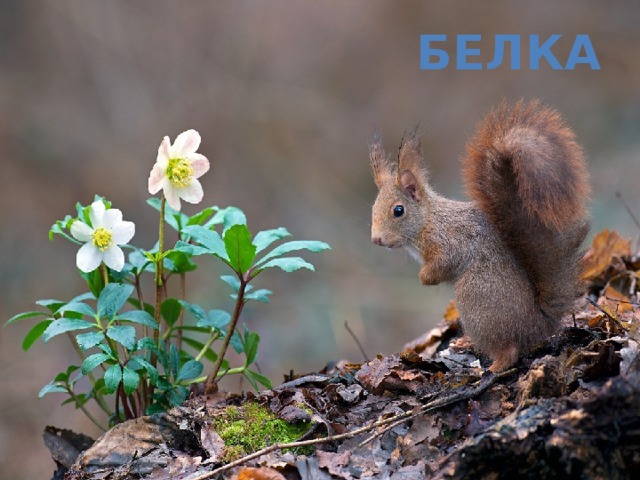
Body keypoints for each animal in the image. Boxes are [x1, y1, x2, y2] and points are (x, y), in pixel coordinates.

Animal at [369, 99, 590, 372]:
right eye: (373, 207)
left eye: (398, 211)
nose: (376, 239)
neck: (429, 221)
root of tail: (536, 325)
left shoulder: (451, 241)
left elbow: (443, 264)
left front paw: (424, 278)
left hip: (476, 298)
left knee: (509, 351)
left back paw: (490, 369)